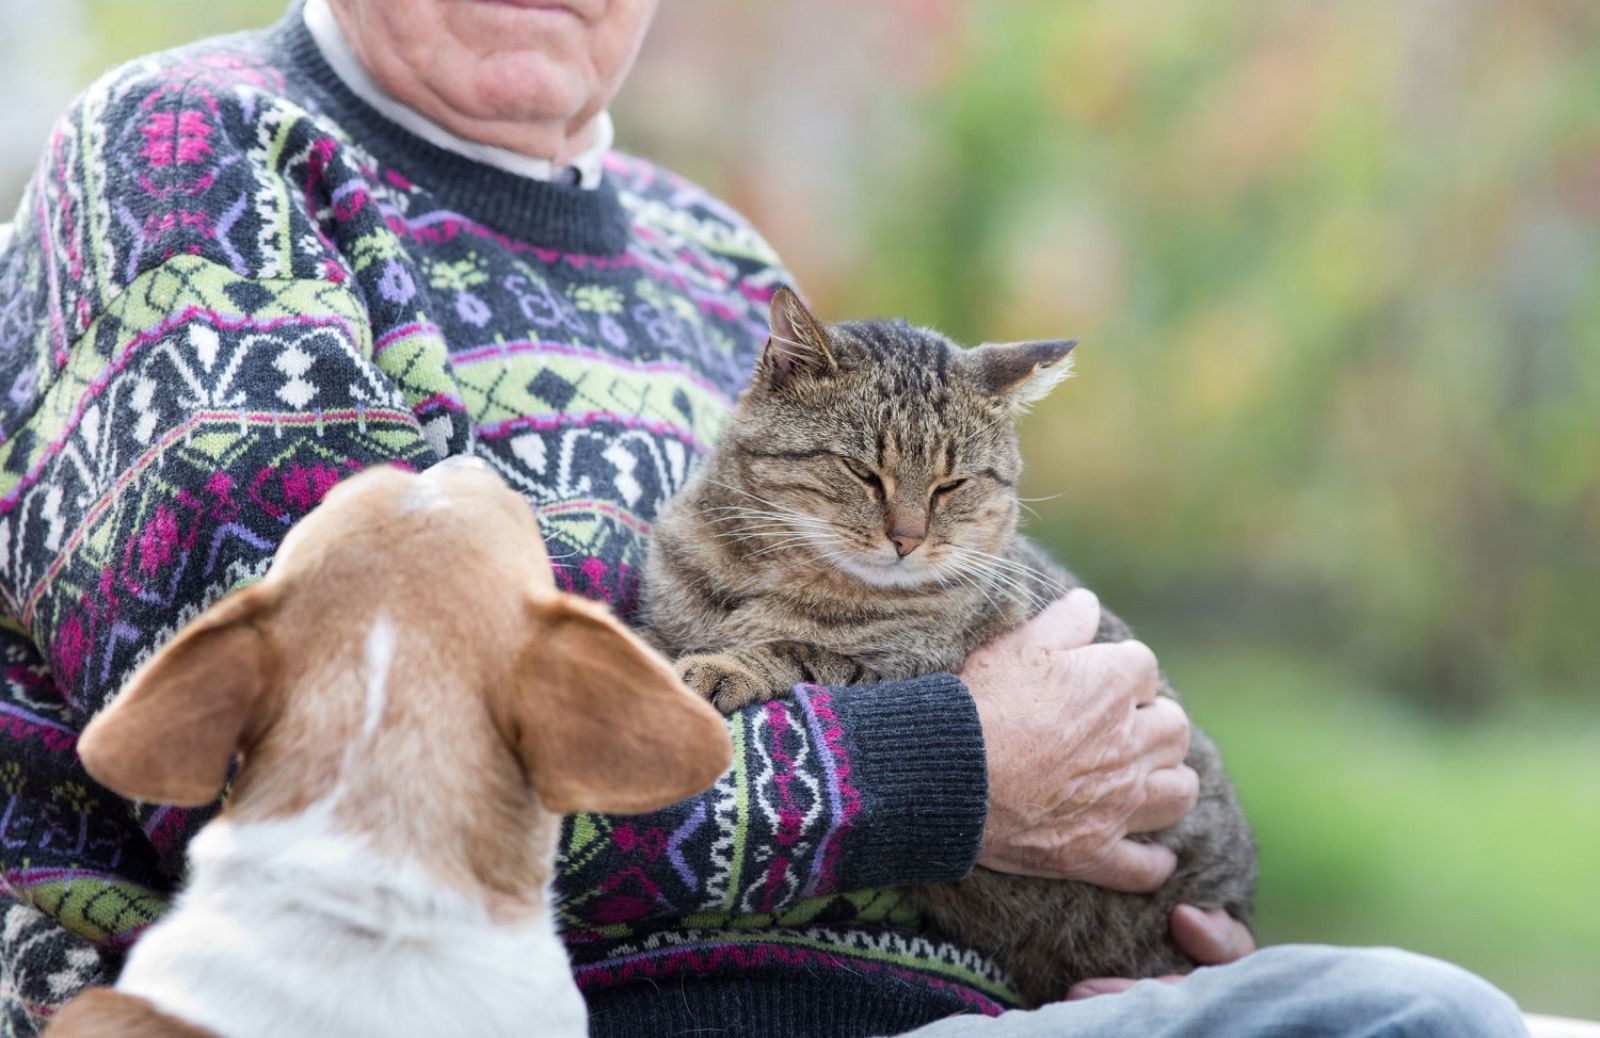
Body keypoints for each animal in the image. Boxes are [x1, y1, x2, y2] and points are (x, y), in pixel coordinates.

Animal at [633, 287, 1248, 998]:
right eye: (861, 471)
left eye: (951, 485)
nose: (907, 538)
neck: (769, 570)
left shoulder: (903, 669)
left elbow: (800, 652)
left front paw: (723, 664)